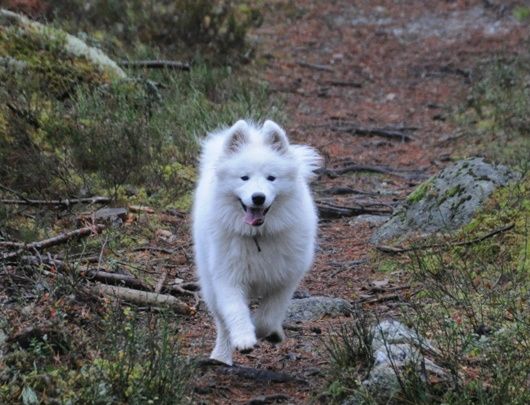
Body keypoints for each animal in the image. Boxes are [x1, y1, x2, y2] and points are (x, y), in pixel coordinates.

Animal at [192, 118, 320, 364]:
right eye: (244, 177)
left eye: (271, 178)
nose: (258, 197)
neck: (258, 236)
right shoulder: (227, 277)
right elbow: (235, 311)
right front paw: (243, 338)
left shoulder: (285, 279)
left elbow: (268, 317)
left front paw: (266, 332)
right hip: (209, 283)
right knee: (222, 323)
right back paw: (221, 357)